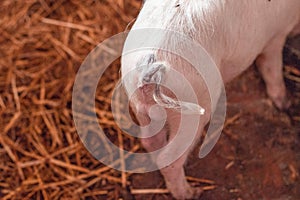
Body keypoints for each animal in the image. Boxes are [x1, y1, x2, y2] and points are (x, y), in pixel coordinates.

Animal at [120, 0, 300, 199]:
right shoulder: (276, 37)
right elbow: (271, 68)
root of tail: (150, 66)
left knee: (150, 141)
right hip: (192, 112)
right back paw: (191, 192)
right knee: (168, 159)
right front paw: (285, 103)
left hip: (139, 104)